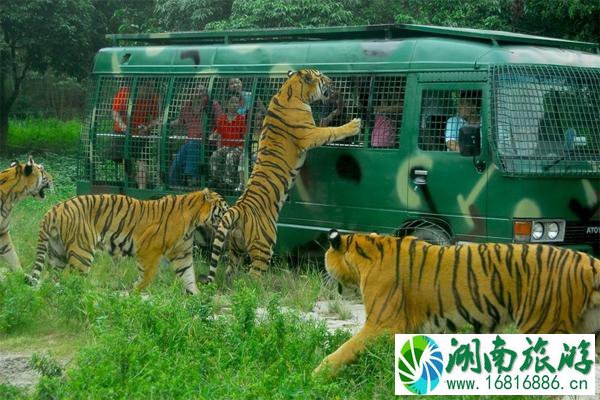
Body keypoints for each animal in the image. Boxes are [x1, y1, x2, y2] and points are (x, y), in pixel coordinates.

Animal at [25, 188, 229, 294]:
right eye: (224, 207)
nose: (230, 213)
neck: (194, 222)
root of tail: (54, 209)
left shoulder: (182, 254)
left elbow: (188, 277)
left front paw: (197, 298)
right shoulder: (148, 251)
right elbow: (146, 277)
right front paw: (135, 292)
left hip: (57, 253)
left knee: (51, 278)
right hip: (82, 252)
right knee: (72, 280)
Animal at [202, 68, 360, 282]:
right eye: (321, 76)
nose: (332, 81)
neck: (289, 90)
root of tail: (238, 209)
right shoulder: (311, 134)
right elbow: (331, 130)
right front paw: (354, 125)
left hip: (235, 248)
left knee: (230, 271)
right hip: (264, 245)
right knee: (253, 275)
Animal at [314, 230, 600, 376]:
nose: (323, 268)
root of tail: (586, 261)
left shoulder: (383, 324)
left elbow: (344, 351)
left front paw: (316, 376)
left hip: (543, 326)